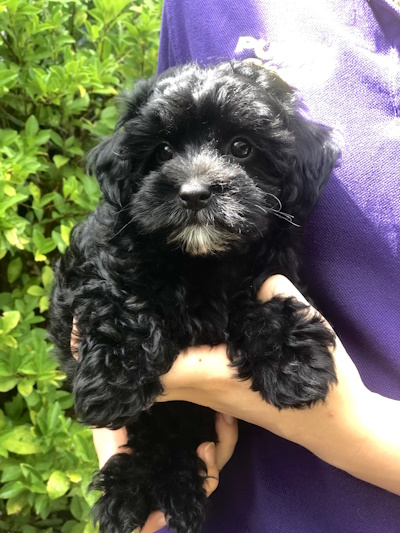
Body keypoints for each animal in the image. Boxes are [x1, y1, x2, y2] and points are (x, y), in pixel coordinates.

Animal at [48, 62, 340, 532]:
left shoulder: (272, 272)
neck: (200, 261)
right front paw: (112, 380)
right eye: (163, 151)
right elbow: (113, 297)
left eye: (242, 147)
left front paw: (293, 362)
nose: (194, 193)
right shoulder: (90, 266)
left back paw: (175, 486)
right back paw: (129, 489)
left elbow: (262, 305)